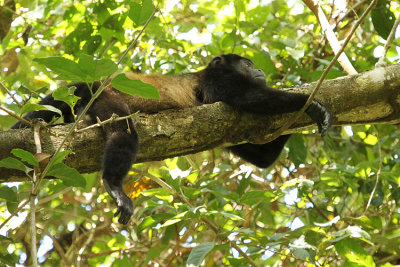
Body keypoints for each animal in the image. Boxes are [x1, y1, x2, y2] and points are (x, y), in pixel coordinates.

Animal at [12, 54, 332, 224]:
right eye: (247, 63)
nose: (261, 68)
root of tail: (92, 84)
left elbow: (262, 158)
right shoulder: (218, 80)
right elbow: (248, 97)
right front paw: (309, 103)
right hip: (105, 97)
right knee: (123, 133)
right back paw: (114, 185)